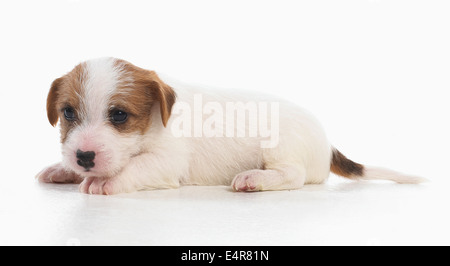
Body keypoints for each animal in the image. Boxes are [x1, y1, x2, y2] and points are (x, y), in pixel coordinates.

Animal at [36, 57, 426, 194]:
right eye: (68, 113)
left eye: (119, 115)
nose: (84, 157)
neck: (154, 123)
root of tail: (327, 145)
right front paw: (64, 169)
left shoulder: (167, 162)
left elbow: (136, 166)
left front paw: (105, 181)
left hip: (280, 146)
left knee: (294, 175)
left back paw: (255, 178)